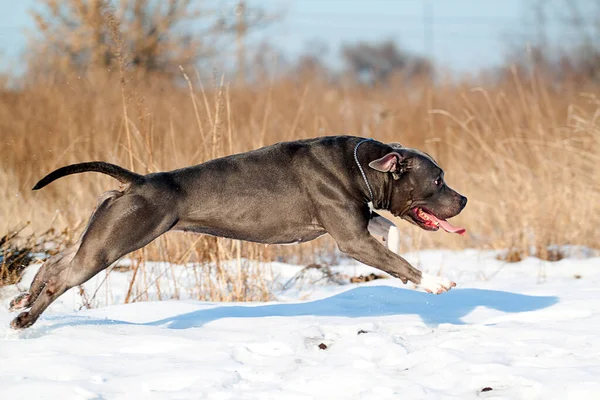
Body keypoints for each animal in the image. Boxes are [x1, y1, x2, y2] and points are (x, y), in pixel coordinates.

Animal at [10, 136, 468, 330]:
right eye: (438, 180)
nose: (462, 199)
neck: (363, 164)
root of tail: (137, 181)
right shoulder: (351, 238)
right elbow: (399, 260)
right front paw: (434, 282)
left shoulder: (359, 222)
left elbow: (389, 233)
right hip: (113, 243)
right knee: (63, 279)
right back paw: (26, 318)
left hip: (100, 233)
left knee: (54, 263)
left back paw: (24, 296)